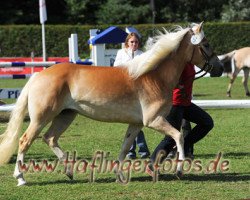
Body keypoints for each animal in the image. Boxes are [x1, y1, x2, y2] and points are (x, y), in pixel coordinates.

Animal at [0, 21, 223, 186]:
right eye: (206, 44)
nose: (220, 68)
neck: (153, 76)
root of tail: (38, 76)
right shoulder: (154, 120)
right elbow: (178, 136)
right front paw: (179, 170)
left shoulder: (136, 124)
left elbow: (124, 148)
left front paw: (120, 176)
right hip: (41, 117)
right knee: (25, 141)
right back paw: (21, 178)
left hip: (66, 115)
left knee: (50, 138)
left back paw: (70, 171)